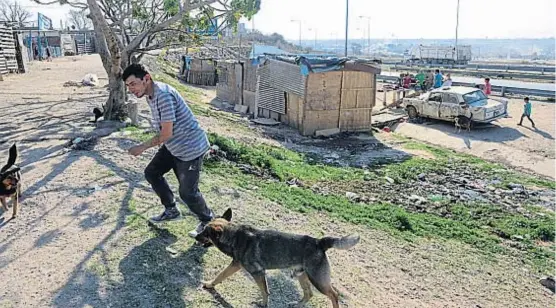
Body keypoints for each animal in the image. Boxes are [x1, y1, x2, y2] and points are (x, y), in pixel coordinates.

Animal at [195, 208, 360, 306]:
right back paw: (297, 304)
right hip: (301, 276)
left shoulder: (255, 272)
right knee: (309, 294)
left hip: (318, 280)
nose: (195, 236)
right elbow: (222, 276)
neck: (234, 236)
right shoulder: (243, 267)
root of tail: (319, 242)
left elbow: (222, 276)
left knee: (334, 295)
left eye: (205, 233)